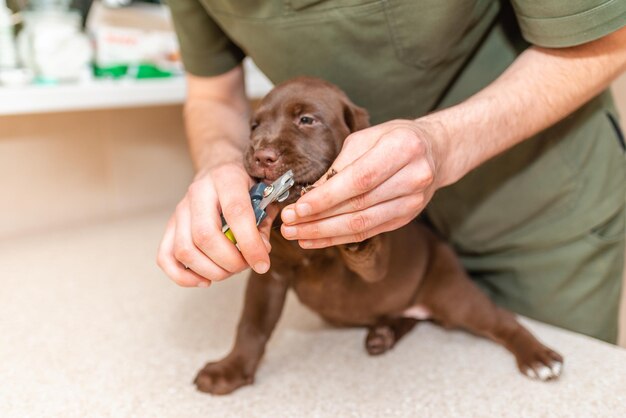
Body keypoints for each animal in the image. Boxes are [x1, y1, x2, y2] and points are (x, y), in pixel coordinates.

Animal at [193, 77, 564, 396]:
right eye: (254, 126)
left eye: (307, 120)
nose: (261, 155)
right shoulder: (270, 276)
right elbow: (251, 325)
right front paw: (230, 370)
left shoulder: (376, 264)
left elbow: (367, 253)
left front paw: (353, 237)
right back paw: (383, 334)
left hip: (452, 292)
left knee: (500, 319)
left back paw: (538, 357)